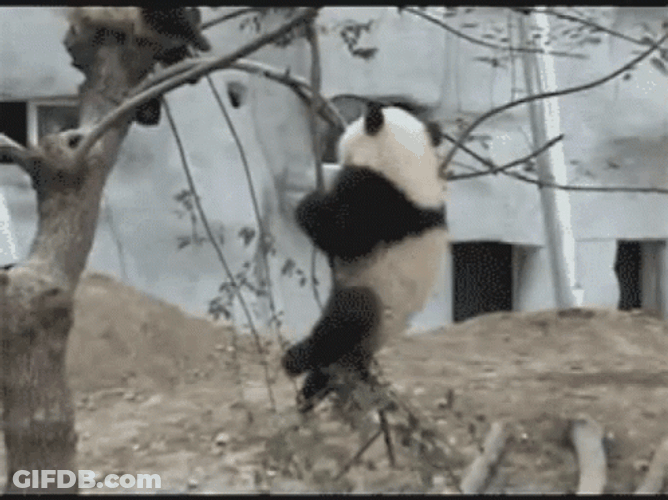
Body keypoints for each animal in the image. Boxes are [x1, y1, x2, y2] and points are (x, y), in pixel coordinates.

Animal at [282, 101, 447, 410]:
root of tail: (362, 355)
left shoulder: (378, 201)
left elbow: (344, 234)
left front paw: (308, 204)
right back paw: (311, 391)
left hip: (378, 308)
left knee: (350, 315)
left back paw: (296, 359)